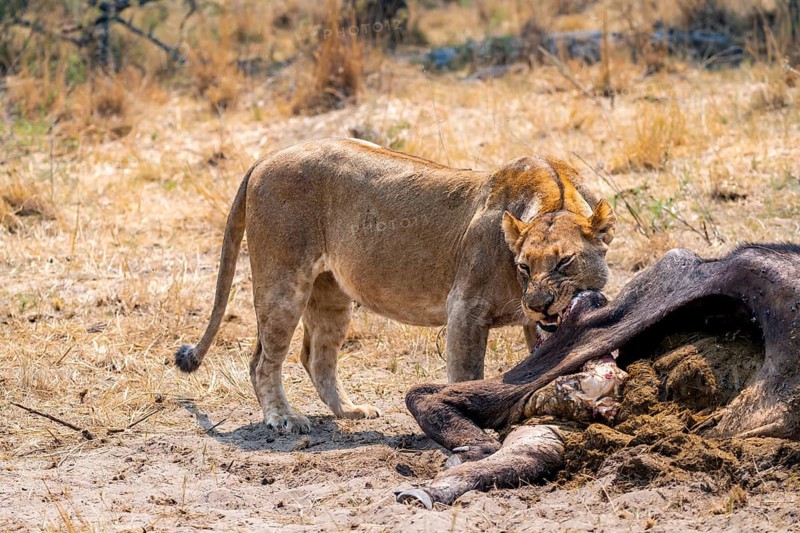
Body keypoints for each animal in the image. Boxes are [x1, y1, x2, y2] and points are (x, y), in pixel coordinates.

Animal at [174, 138, 615, 433]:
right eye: (523, 266)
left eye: (564, 262)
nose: (539, 304)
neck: (555, 196)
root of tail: (267, 156)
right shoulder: (466, 307)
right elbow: (465, 373)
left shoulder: (532, 323)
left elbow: (543, 361)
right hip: (282, 282)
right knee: (264, 360)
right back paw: (283, 418)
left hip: (331, 292)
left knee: (316, 356)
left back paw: (349, 411)